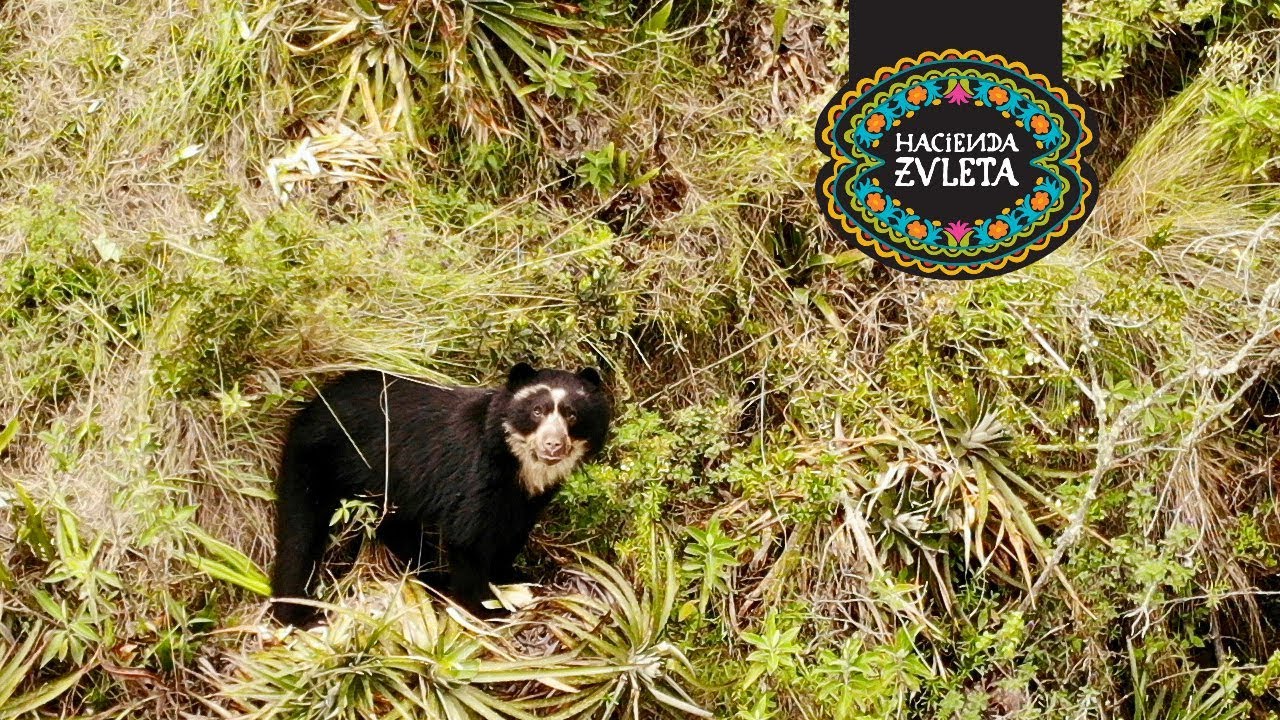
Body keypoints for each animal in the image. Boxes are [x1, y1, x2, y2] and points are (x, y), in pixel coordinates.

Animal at [268, 363, 609, 622]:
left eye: (572, 415)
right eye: (537, 411)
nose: (553, 446)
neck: (517, 463)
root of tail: (310, 407)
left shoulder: (525, 498)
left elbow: (511, 534)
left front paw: (513, 578)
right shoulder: (474, 474)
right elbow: (468, 538)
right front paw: (486, 608)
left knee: (397, 529)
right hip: (318, 459)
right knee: (300, 531)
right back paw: (295, 613)